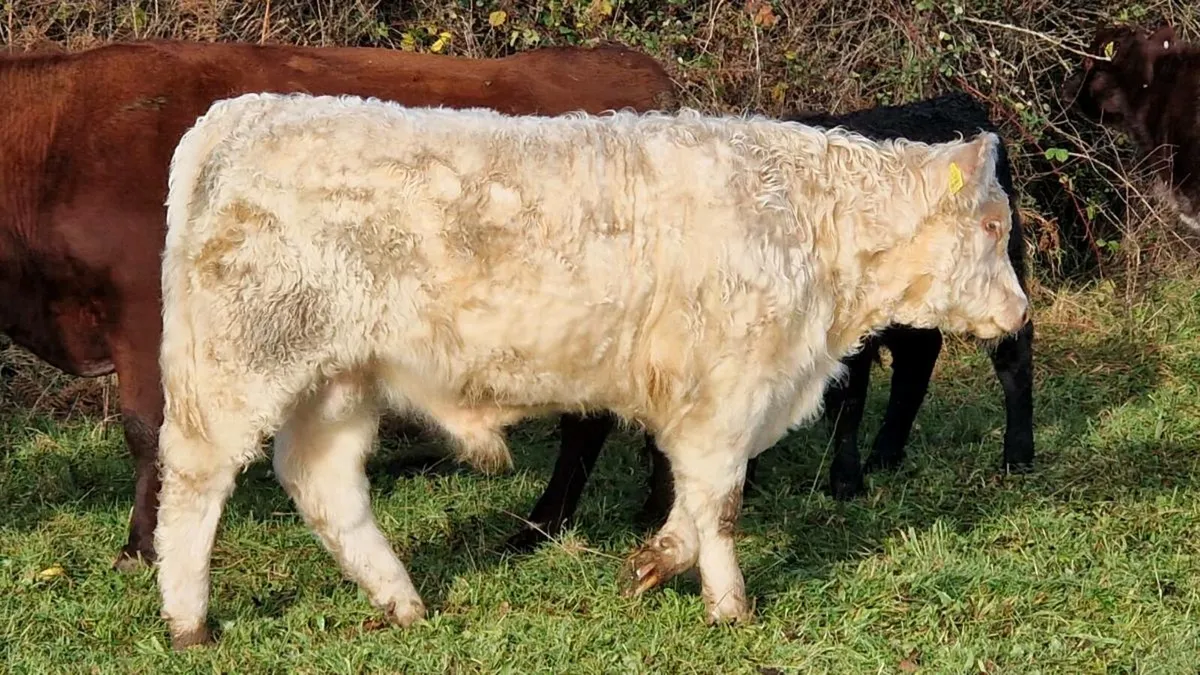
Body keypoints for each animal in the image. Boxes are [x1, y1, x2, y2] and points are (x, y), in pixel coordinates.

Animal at [506, 91, 1036, 551]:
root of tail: (951, 103)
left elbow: (843, 401)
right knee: (917, 360)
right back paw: (886, 454)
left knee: (1012, 358)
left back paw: (1016, 455)